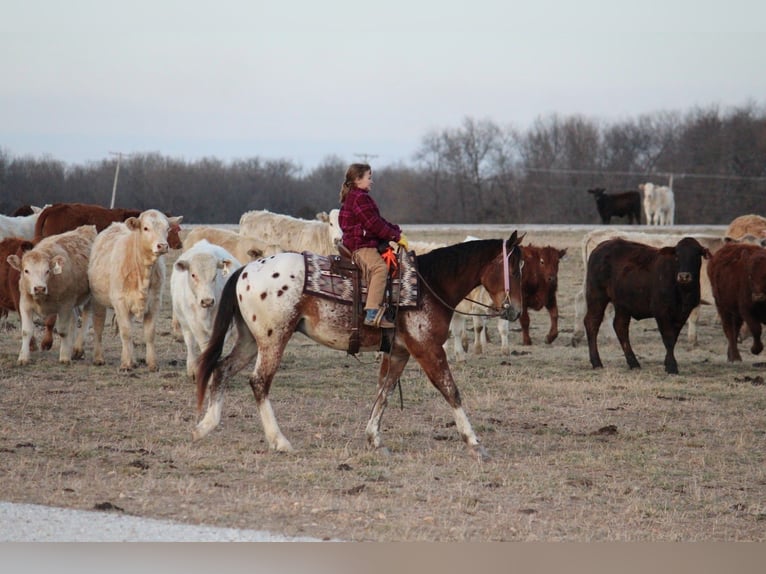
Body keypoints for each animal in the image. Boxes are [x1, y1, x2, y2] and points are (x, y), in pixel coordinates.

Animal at [193, 232, 524, 461]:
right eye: (515, 269)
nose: (516, 311)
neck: (428, 285)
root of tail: (246, 269)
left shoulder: (399, 352)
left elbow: (384, 392)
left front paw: (374, 439)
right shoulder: (427, 349)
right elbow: (450, 390)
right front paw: (475, 444)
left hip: (251, 340)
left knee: (222, 370)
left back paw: (206, 425)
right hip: (274, 339)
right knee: (259, 382)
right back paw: (280, 441)